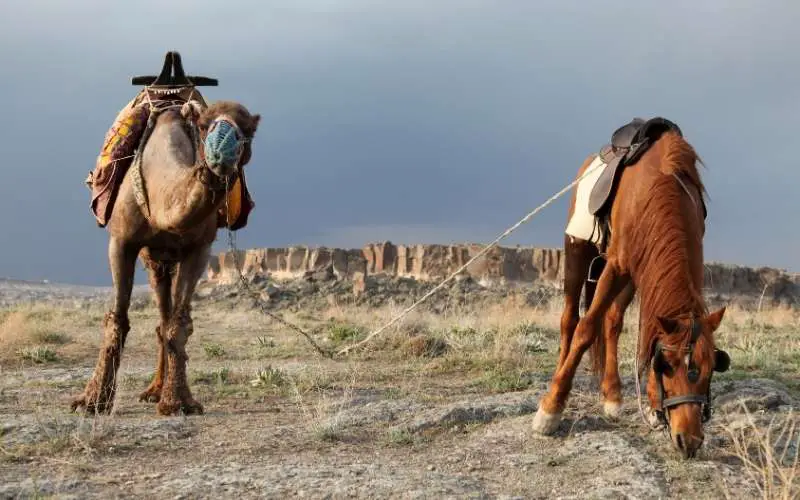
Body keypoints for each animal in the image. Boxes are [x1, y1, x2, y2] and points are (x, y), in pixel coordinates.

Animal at [72, 66, 260, 416]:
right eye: (204, 125)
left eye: (249, 131)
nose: (221, 155)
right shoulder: (121, 241)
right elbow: (117, 320)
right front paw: (92, 401)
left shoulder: (198, 249)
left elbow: (179, 324)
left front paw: (179, 402)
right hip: (152, 259)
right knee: (159, 311)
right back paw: (149, 390)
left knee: (165, 318)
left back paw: (157, 391)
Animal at [532, 127, 732, 458]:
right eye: (667, 366)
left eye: (711, 369)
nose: (689, 441)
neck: (658, 190)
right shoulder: (615, 266)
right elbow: (586, 329)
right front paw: (551, 408)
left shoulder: (646, 273)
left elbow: (642, 339)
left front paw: (651, 402)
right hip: (577, 252)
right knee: (570, 319)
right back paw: (558, 378)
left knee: (613, 322)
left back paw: (612, 394)